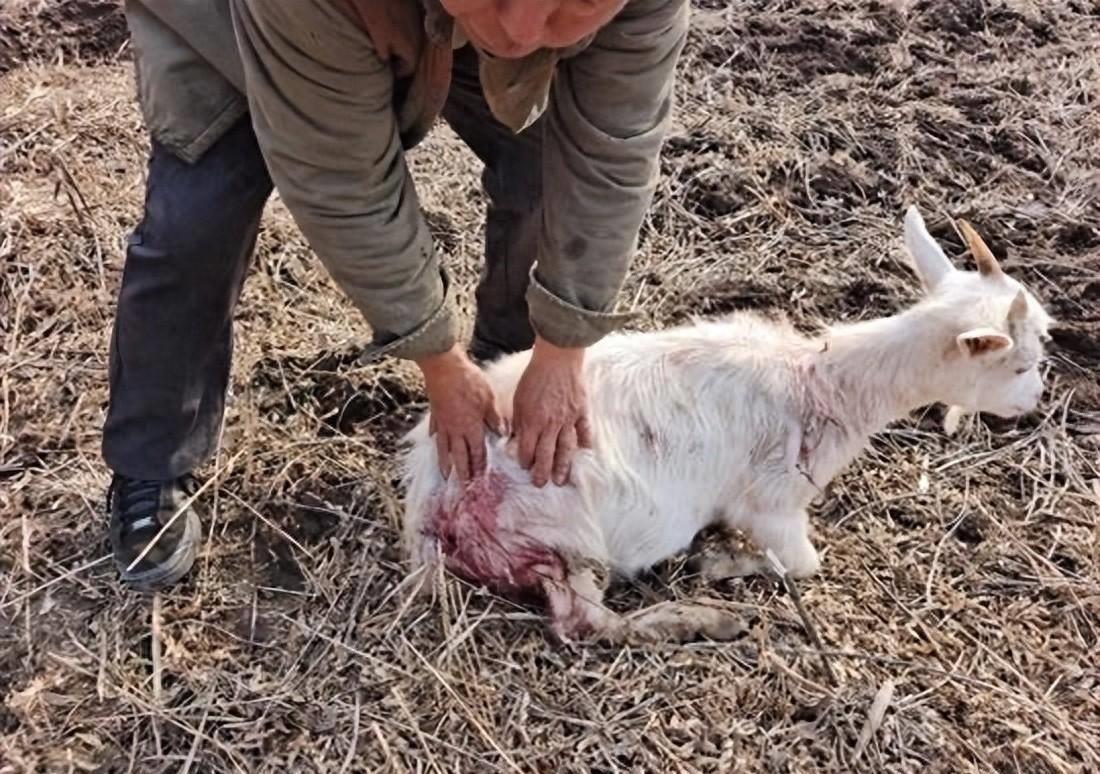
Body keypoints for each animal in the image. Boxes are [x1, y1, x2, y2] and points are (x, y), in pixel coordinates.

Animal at [400, 205, 1051, 642]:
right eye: (1020, 363)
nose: (1035, 403)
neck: (821, 381)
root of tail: (433, 503)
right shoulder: (772, 501)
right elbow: (802, 562)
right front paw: (719, 564)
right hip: (564, 531)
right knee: (585, 623)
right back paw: (709, 619)